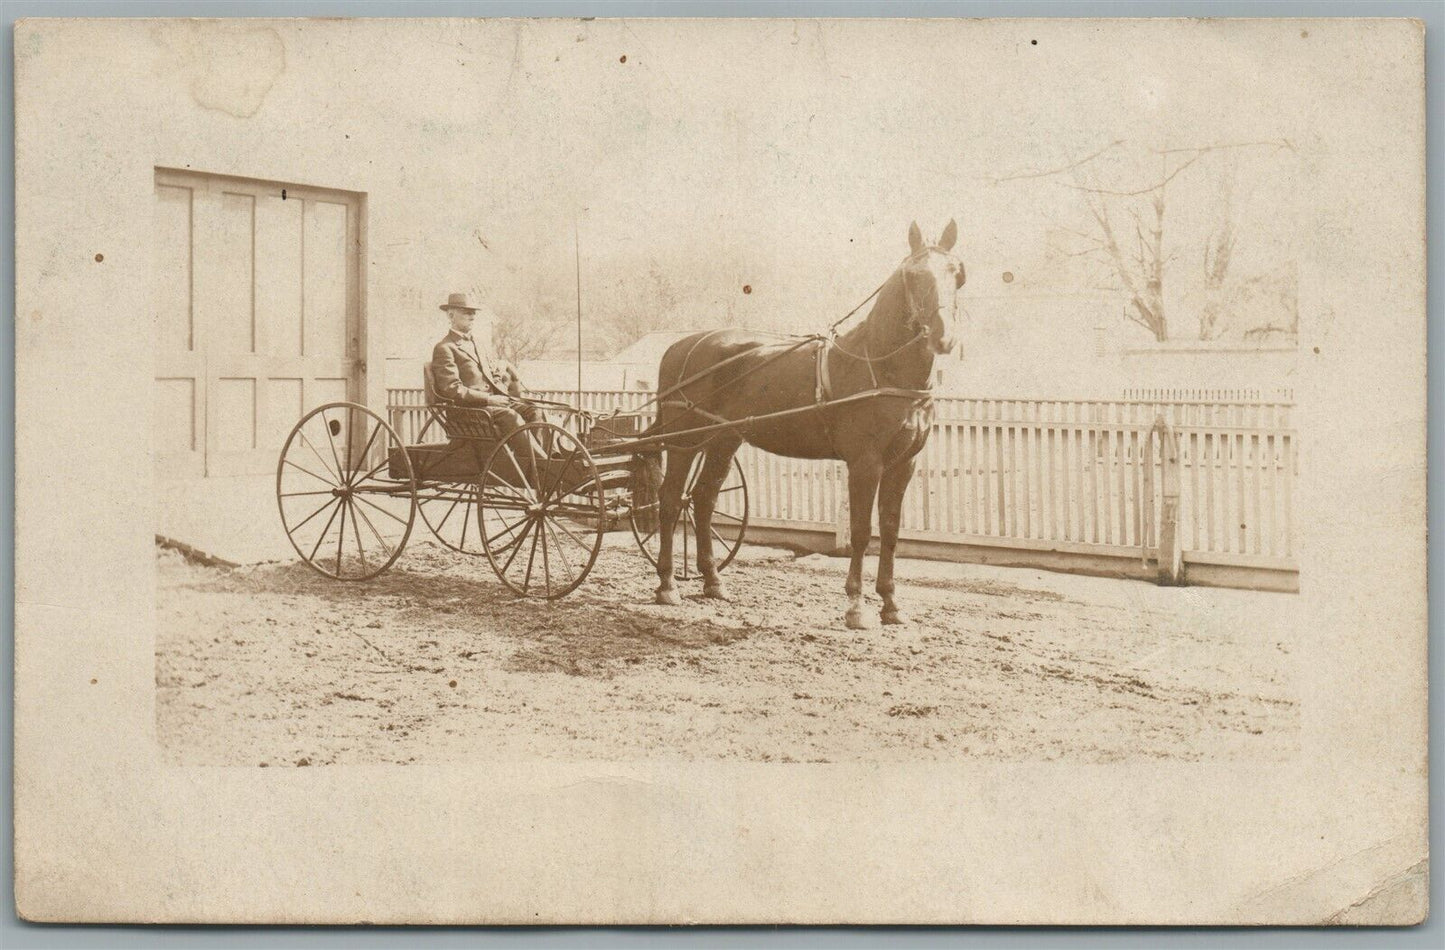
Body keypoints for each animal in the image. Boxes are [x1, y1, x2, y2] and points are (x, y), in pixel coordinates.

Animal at [641, 218, 959, 627]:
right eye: (915, 274)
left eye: (956, 271)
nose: (943, 336)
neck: (878, 366)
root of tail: (679, 348)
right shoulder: (865, 464)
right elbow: (861, 532)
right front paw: (856, 606)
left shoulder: (904, 464)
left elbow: (890, 531)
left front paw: (891, 604)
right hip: (684, 441)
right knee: (670, 500)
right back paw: (667, 584)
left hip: (723, 441)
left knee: (703, 499)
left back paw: (713, 581)